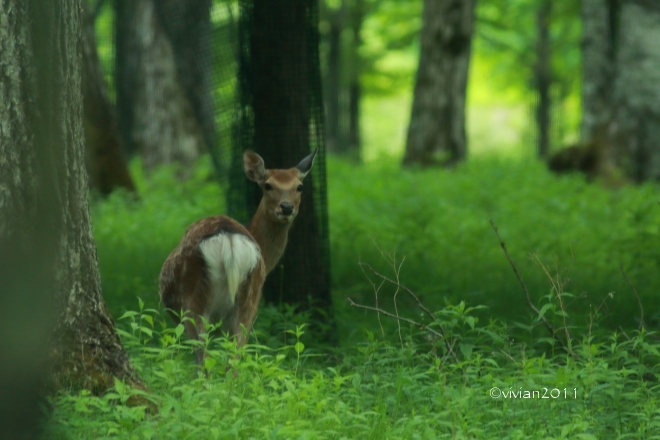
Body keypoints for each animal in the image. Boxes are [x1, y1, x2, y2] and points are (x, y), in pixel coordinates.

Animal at [157, 149, 318, 364]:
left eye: (299, 186)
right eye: (268, 185)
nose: (286, 207)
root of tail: (229, 239)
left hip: (193, 300)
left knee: (204, 358)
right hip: (250, 298)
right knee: (234, 357)